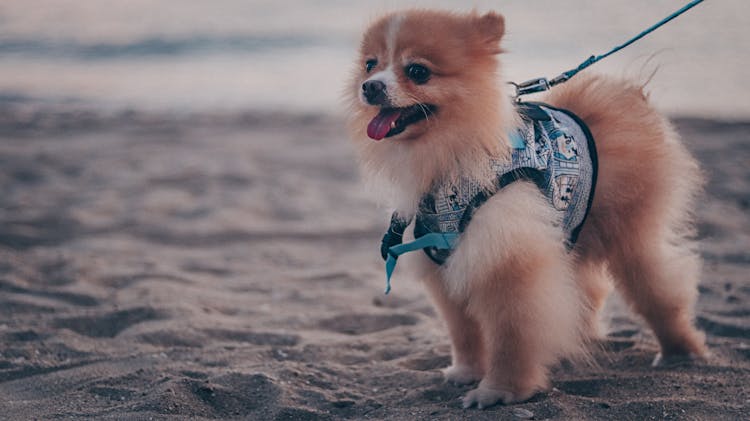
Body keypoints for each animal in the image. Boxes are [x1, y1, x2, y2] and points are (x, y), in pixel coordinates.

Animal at [346, 9, 712, 406]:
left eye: (417, 71)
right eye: (370, 65)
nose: (370, 87)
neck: (453, 156)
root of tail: (626, 95)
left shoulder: (508, 259)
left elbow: (512, 333)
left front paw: (500, 390)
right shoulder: (444, 260)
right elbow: (464, 329)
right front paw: (468, 371)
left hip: (630, 235)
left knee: (658, 286)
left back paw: (681, 350)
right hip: (572, 232)